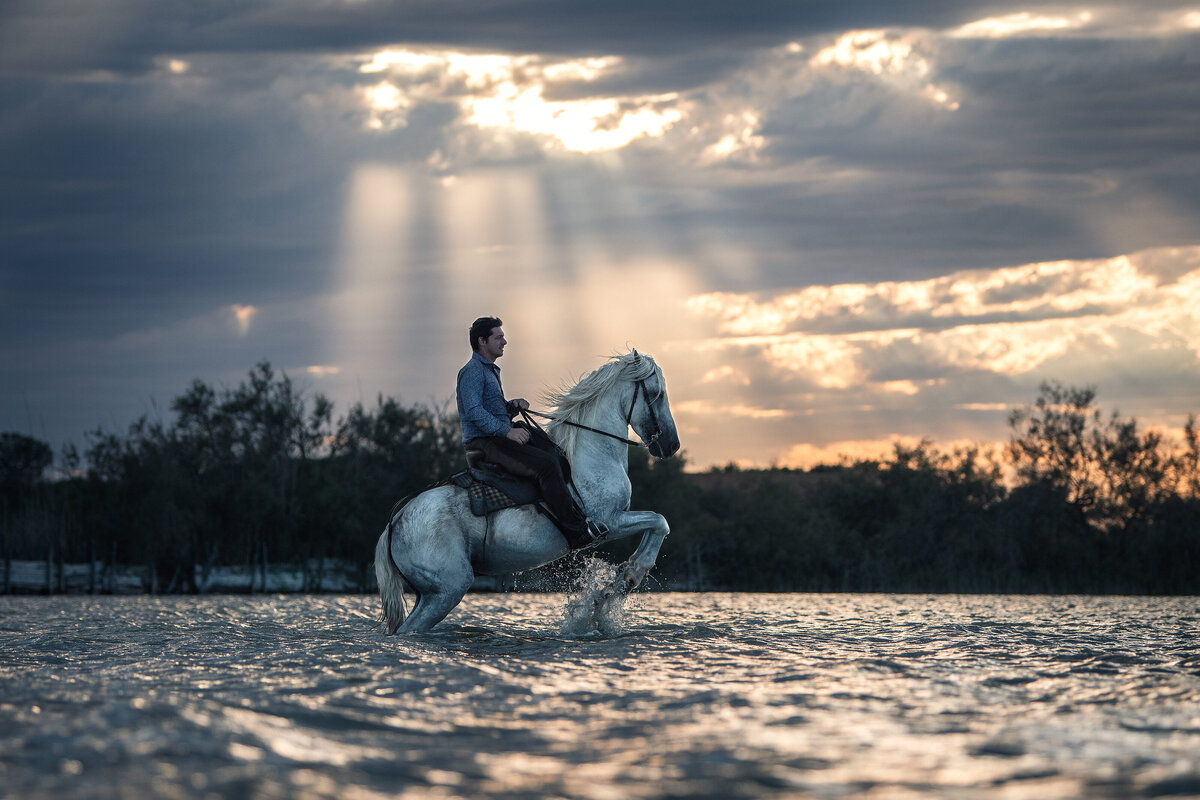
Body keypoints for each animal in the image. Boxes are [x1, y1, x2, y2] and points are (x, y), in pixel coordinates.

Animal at [374, 350, 680, 633]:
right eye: (657, 394)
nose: (672, 445)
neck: (590, 452)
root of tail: (395, 522)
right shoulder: (609, 521)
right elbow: (660, 521)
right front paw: (629, 577)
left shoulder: (617, 519)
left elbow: (655, 524)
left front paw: (620, 580)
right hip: (447, 590)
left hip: (427, 594)